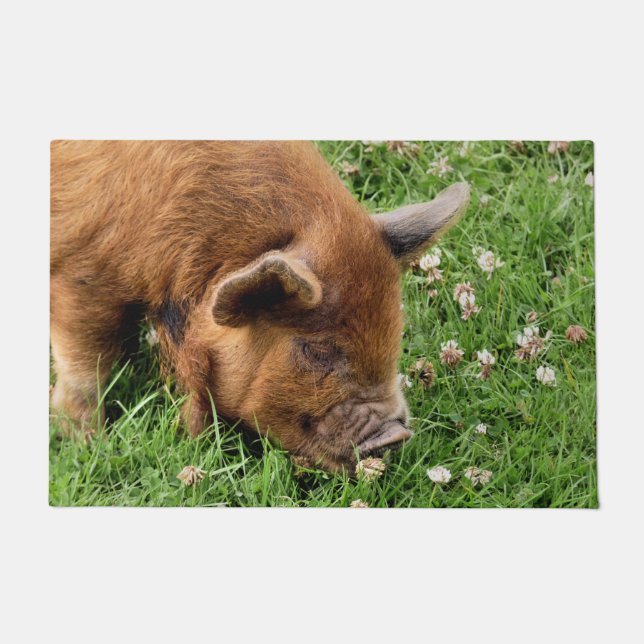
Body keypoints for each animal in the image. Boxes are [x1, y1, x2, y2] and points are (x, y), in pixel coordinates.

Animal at [50, 141, 469, 472]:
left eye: (394, 334)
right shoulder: (80, 276)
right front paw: (86, 442)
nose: (396, 435)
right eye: (316, 350)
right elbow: (86, 368)